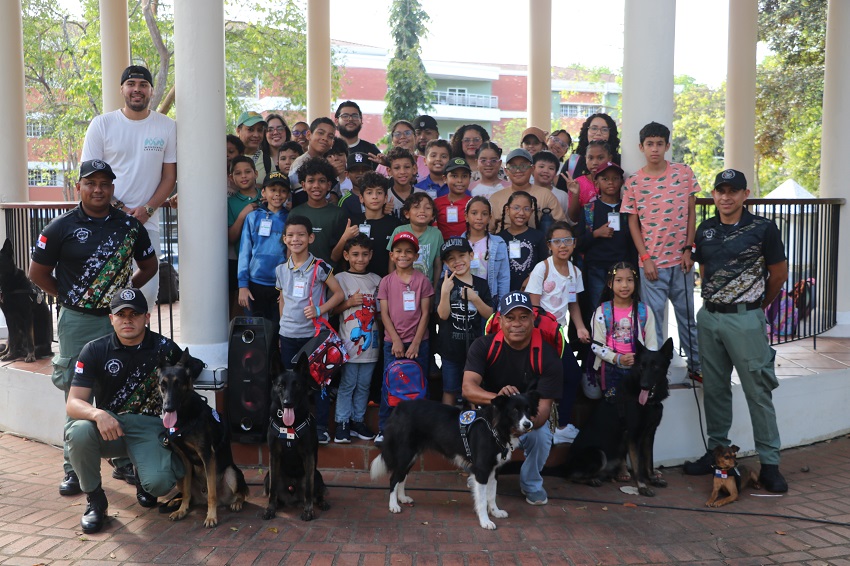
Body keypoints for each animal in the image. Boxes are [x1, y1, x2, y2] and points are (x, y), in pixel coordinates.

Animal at [158, 348, 250, 528]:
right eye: (162, 384)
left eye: (178, 383)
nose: (168, 408)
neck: (185, 418)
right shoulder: (184, 459)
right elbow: (187, 491)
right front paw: (182, 510)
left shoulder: (207, 456)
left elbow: (212, 493)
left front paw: (211, 517)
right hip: (180, 476)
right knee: (189, 494)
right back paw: (176, 502)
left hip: (231, 472)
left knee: (241, 493)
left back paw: (236, 503)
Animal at [263, 356, 329, 522]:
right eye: (281, 385)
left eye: (297, 385)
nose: (288, 403)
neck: (289, 426)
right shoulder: (274, 455)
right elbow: (273, 488)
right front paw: (270, 509)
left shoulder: (309, 456)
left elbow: (309, 489)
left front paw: (308, 511)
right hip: (267, 476)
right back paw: (278, 504)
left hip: (317, 474)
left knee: (316, 492)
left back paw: (322, 503)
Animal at [370, 392, 540, 530]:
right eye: (515, 410)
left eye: (528, 409)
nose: (528, 424)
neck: (495, 428)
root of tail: (399, 407)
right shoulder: (482, 470)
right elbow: (482, 499)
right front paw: (485, 521)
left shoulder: (494, 469)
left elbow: (492, 494)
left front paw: (495, 512)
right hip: (405, 452)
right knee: (394, 478)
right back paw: (393, 505)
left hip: (411, 455)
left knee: (402, 476)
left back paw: (402, 498)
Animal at [565, 338, 674, 496]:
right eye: (641, 367)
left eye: (655, 367)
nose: (644, 386)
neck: (647, 402)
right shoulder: (633, 437)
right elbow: (638, 465)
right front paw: (642, 487)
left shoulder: (649, 435)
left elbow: (649, 461)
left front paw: (653, 479)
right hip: (598, 454)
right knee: (571, 476)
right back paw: (592, 479)